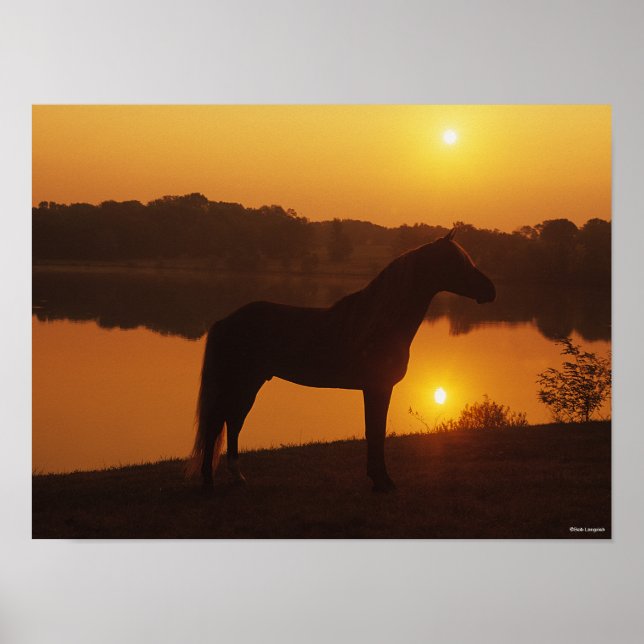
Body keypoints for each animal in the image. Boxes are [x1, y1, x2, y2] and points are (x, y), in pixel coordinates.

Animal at [188, 228, 495, 492]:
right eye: (457, 262)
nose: (490, 289)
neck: (379, 322)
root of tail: (226, 321)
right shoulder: (377, 388)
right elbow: (376, 432)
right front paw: (382, 482)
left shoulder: (376, 389)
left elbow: (375, 432)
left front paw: (379, 479)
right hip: (239, 383)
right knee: (218, 423)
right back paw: (208, 482)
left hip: (249, 384)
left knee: (232, 422)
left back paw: (237, 477)